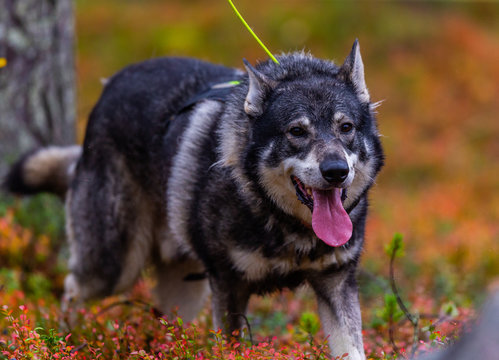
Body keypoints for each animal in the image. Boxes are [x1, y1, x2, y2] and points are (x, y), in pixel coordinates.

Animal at [3, 40, 384, 358]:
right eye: (297, 132)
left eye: (346, 128)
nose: (335, 171)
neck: (285, 225)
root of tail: (110, 85)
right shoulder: (229, 287)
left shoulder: (337, 284)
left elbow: (352, 349)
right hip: (114, 266)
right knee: (71, 288)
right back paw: (62, 340)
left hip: (184, 291)